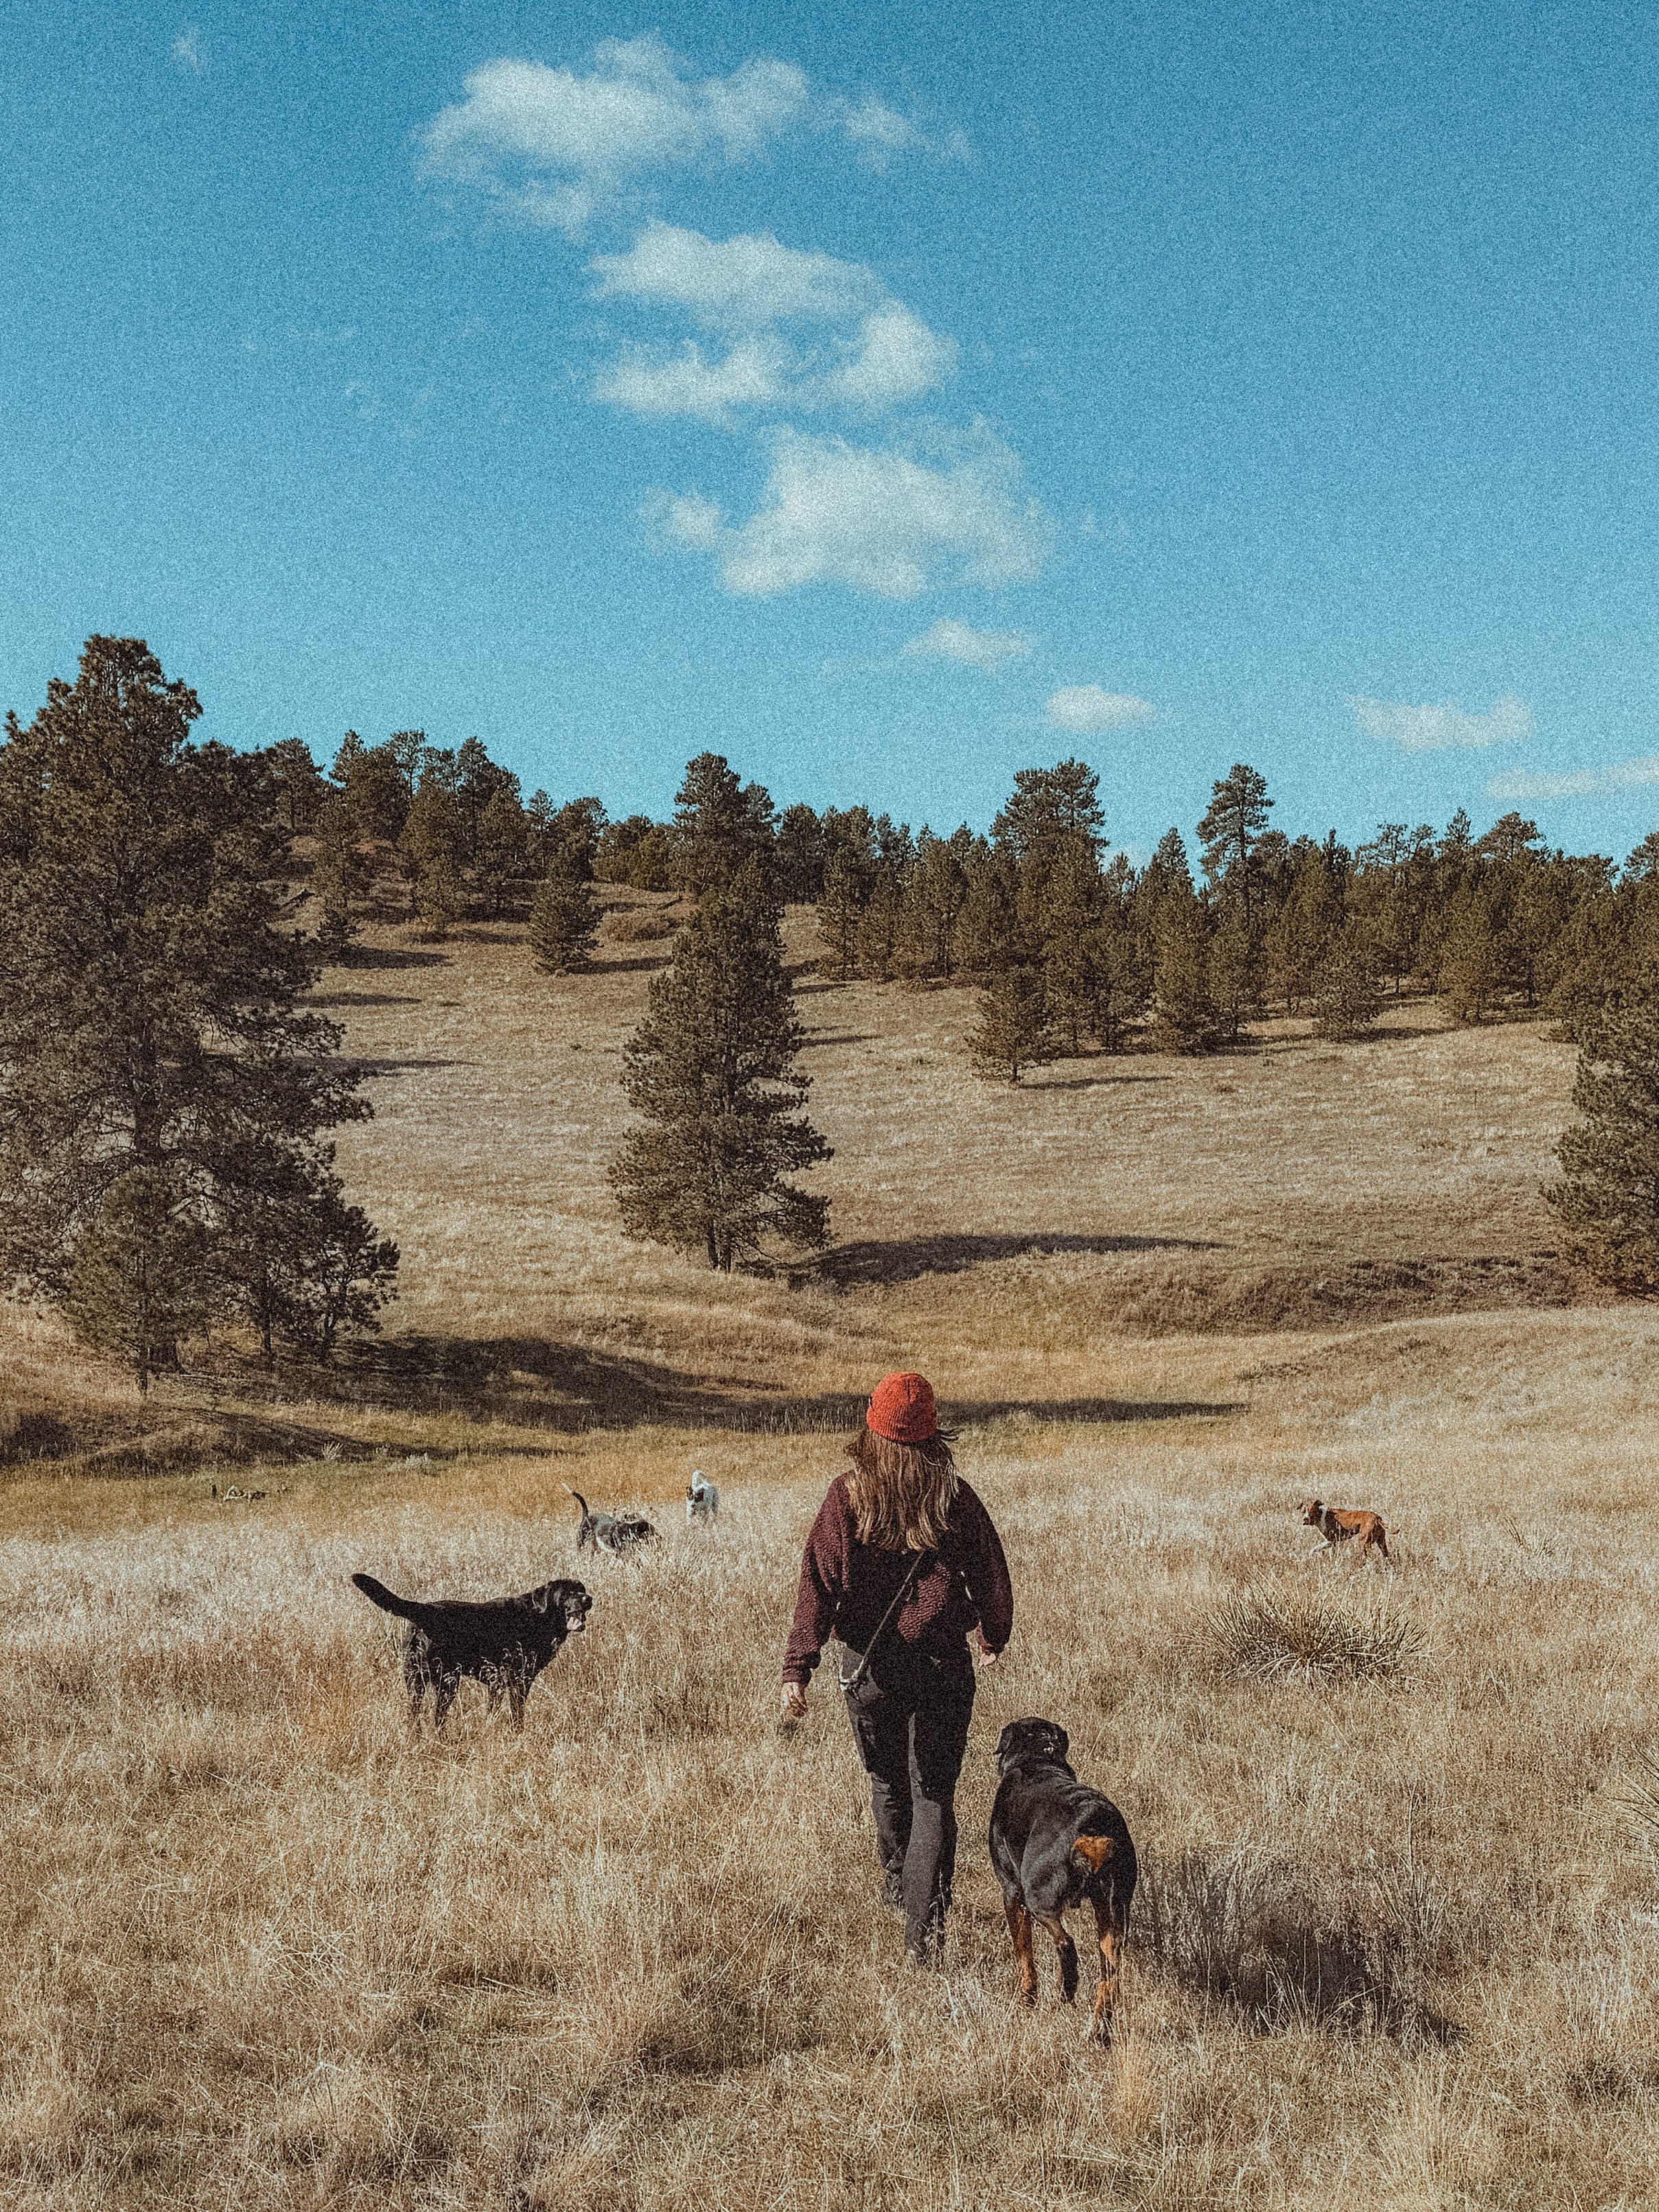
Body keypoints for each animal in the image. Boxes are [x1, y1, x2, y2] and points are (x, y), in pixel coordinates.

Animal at [350, 1571, 591, 1730]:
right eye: (569, 1592)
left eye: (583, 1590)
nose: (588, 1599)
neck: (538, 1617)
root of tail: (423, 1611)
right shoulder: (517, 1681)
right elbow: (517, 1714)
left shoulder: (497, 1684)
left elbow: (494, 1711)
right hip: (447, 1681)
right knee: (437, 1717)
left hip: (416, 1680)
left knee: (415, 1716)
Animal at [988, 1717, 1137, 2042]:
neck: (1037, 1758)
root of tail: (1092, 1826)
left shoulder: (1011, 1893)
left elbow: (1024, 1955)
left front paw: (1026, 1999)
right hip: (1113, 1912)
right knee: (1110, 1974)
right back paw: (1099, 2030)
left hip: (1037, 1895)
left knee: (1066, 1943)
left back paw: (1067, 1989)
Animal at [1301, 1498, 1391, 1564]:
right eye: (1304, 1510)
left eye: (1311, 1510)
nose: (1305, 1519)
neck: (1321, 1515)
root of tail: (1377, 1518)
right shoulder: (1332, 1542)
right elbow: (1315, 1550)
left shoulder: (1332, 1541)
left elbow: (1314, 1549)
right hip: (1381, 1543)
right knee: (1387, 1556)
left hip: (1364, 1543)